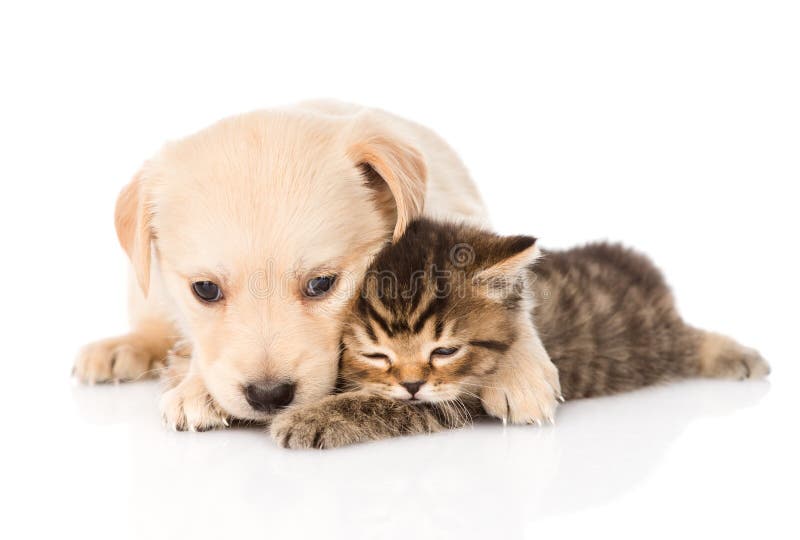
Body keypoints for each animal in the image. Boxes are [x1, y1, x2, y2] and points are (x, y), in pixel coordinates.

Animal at [270, 217, 768, 450]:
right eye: (376, 355)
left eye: (445, 351)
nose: (412, 384)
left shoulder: (456, 398)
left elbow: (382, 405)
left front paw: (310, 420)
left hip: (650, 343)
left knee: (691, 340)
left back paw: (742, 357)